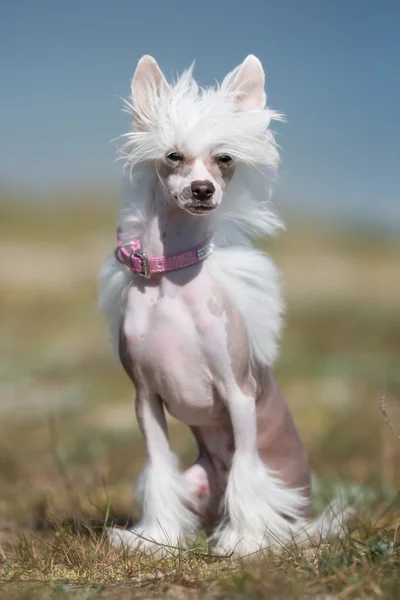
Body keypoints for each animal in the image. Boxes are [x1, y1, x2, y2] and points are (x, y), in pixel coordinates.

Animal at [99, 54, 346, 556]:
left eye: (224, 158)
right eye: (173, 155)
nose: (202, 189)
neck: (171, 282)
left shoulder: (239, 392)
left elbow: (248, 470)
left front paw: (245, 542)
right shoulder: (144, 397)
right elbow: (159, 466)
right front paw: (156, 537)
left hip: (284, 489)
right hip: (199, 478)